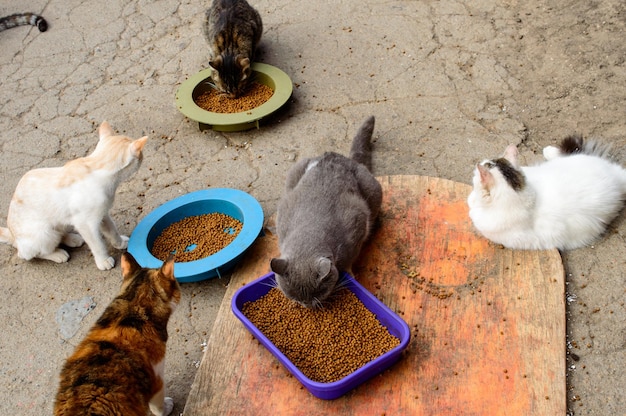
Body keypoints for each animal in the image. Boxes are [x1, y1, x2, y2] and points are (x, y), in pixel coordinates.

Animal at [268, 115, 380, 308]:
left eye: (318, 293)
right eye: (294, 295)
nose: (306, 305)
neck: (309, 233)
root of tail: (338, 157)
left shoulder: (357, 223)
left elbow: (351, 259)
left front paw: (350, 273)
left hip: (373, 190)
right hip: (295, 171)